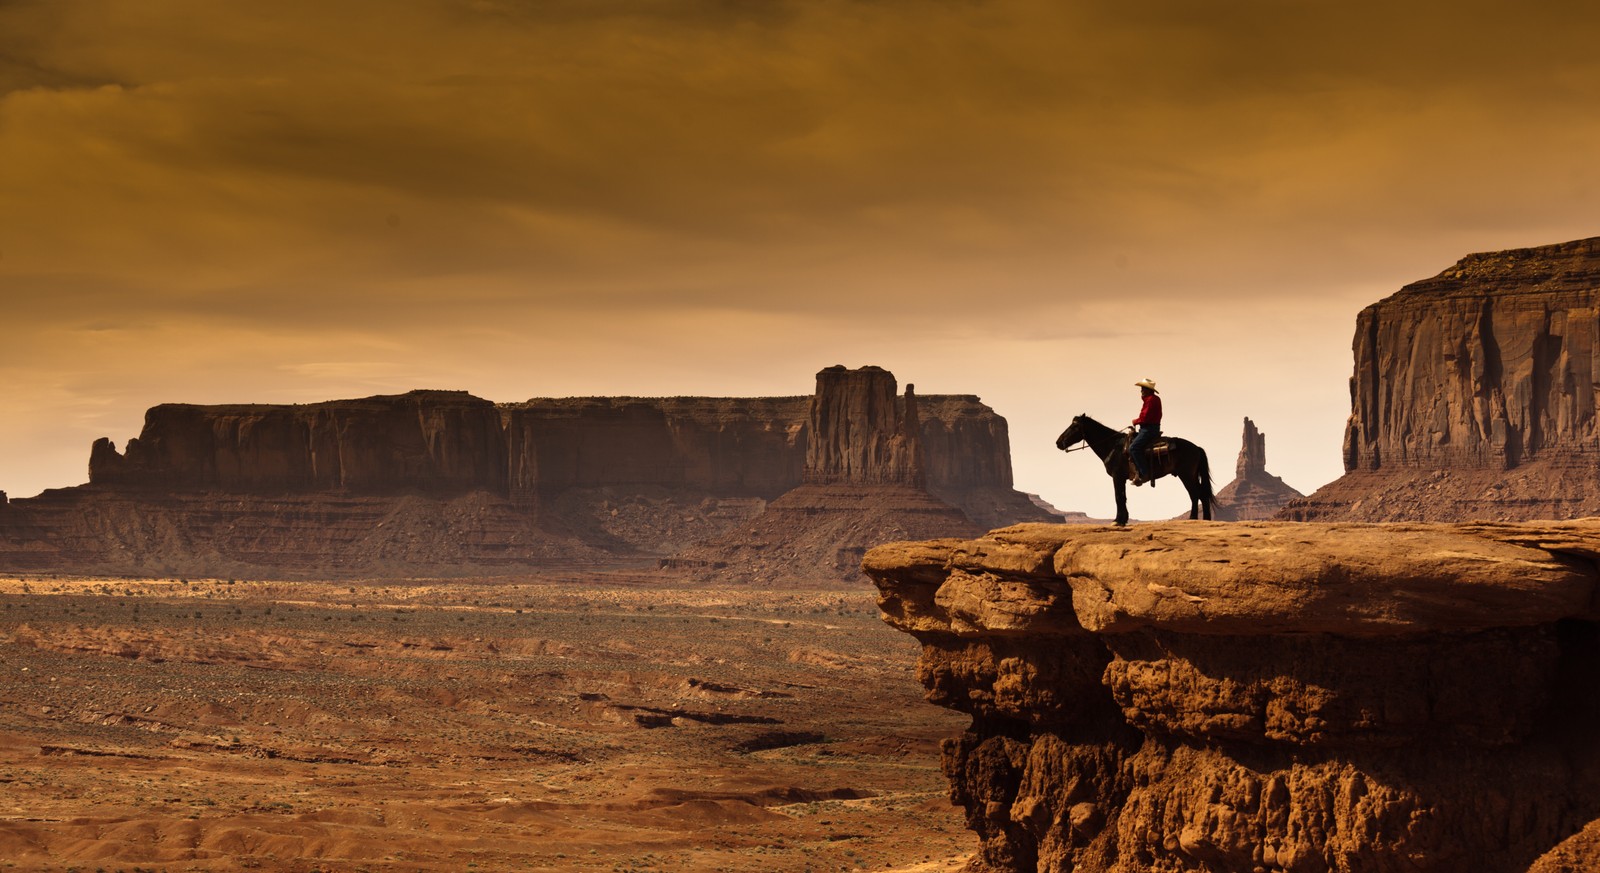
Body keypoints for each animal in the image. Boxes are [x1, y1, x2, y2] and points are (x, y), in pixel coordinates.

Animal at [1056, 412, 1216, 527]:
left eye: (1075, 426)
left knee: (1195, 494)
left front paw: (1118, 520)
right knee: (1202, 494)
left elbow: (1118, 497)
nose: (1058, 442)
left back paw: (1193, 518)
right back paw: (1206, 519)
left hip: (1186, 475)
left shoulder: (1117, 476)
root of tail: (1196, 448)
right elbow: (1123, 497)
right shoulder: (1122, 478)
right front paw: (1123, 519)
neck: (1113, 446)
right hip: (1191, 475)